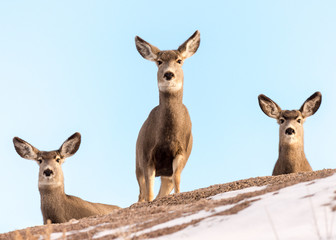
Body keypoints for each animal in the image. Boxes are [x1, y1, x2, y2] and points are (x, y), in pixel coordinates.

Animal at [135, 30, 201, 202]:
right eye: (159, 61)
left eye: (179, 60)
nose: (169, 74)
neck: (167, 136)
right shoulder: (146, 156)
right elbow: (149, 192)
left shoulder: (180, 153)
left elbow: (177, 180)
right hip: (137, 163)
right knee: (141, 193)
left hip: (165, 174)